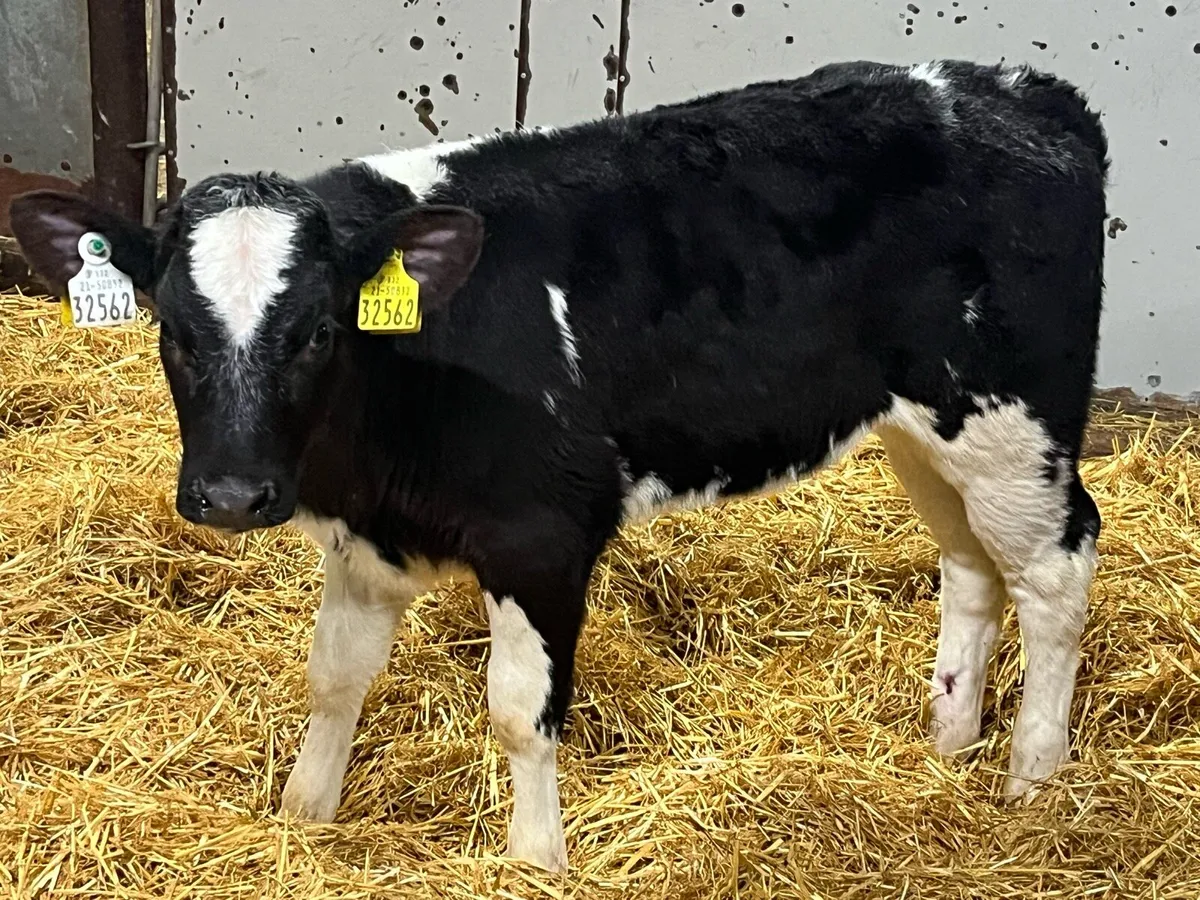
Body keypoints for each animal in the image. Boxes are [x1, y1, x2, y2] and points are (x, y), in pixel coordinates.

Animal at [8, 59, 1107, 873]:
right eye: (174, 330)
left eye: (318, 331)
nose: (233, 496)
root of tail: (1012, 87)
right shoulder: (368, 538)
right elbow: (332, 679)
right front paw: (302, 816)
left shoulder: (541, 534)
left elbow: (518, 715)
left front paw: (535, 860)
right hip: (925, 428)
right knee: (973, 567)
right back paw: (949, 743)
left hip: (1013, 419)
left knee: (1056, 569)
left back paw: (1034, 778)